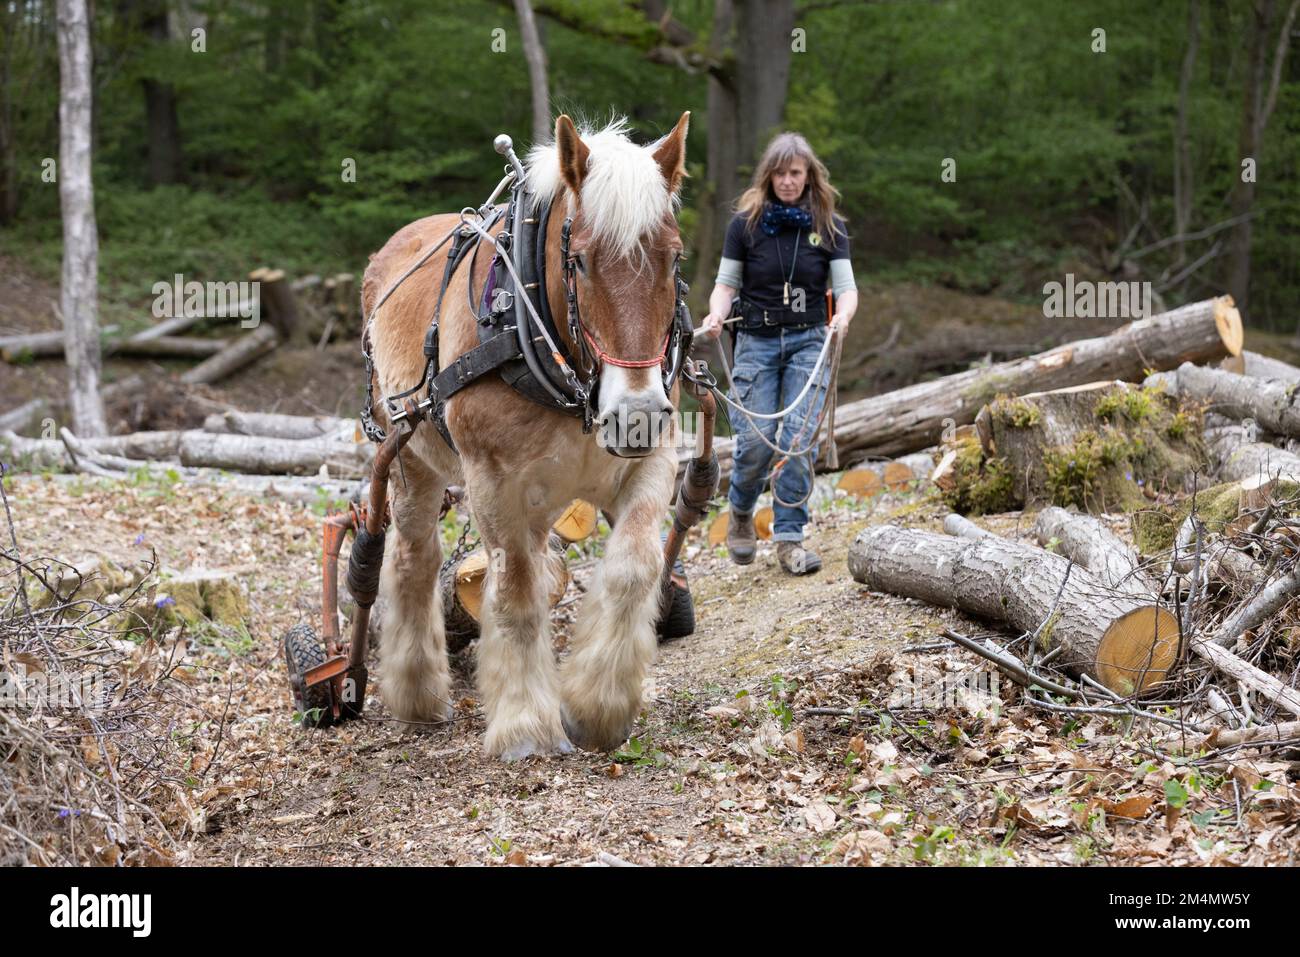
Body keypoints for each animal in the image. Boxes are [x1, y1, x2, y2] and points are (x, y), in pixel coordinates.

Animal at [361, 111, 696, 759]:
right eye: (581, 261)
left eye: (673, 259)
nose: (635, 414)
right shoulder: (492, 480)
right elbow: (514, 591)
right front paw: (524, 725)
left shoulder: (651, 460)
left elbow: (634, 566)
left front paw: (596, 706)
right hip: (409, 460)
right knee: (415, 556)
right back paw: (416, 693)